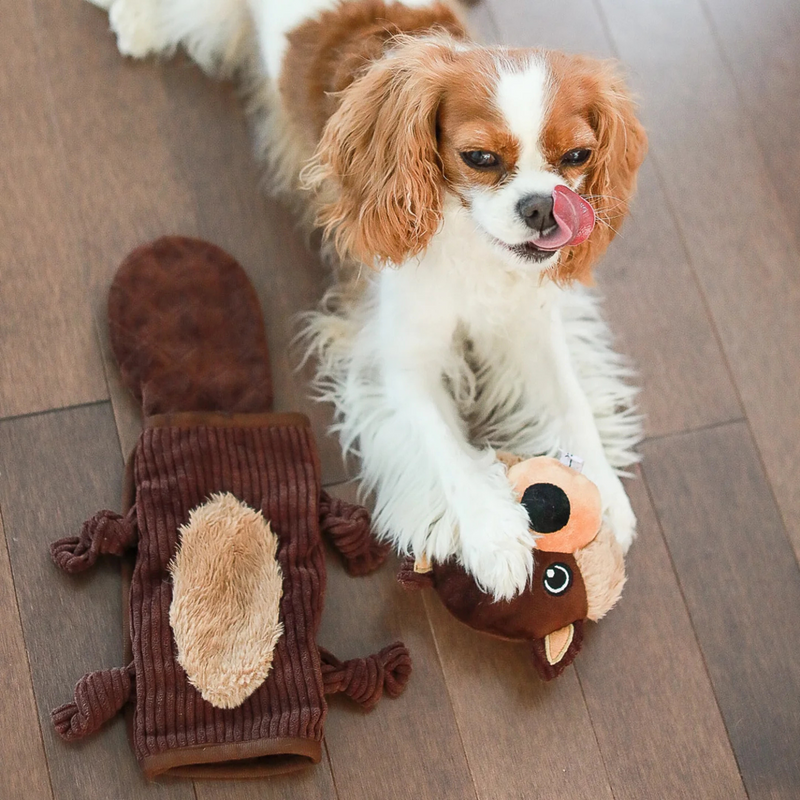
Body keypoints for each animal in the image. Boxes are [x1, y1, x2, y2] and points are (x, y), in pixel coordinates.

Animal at [89, 0, 648, 600]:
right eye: (478, 157)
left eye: (578, 155)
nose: (544, 207)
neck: (469, 243)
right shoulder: (398, 362)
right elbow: (445, 447)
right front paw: (492, 535)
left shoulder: (528, 320)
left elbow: (572, 402)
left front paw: (602, 493)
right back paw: (138, 24)